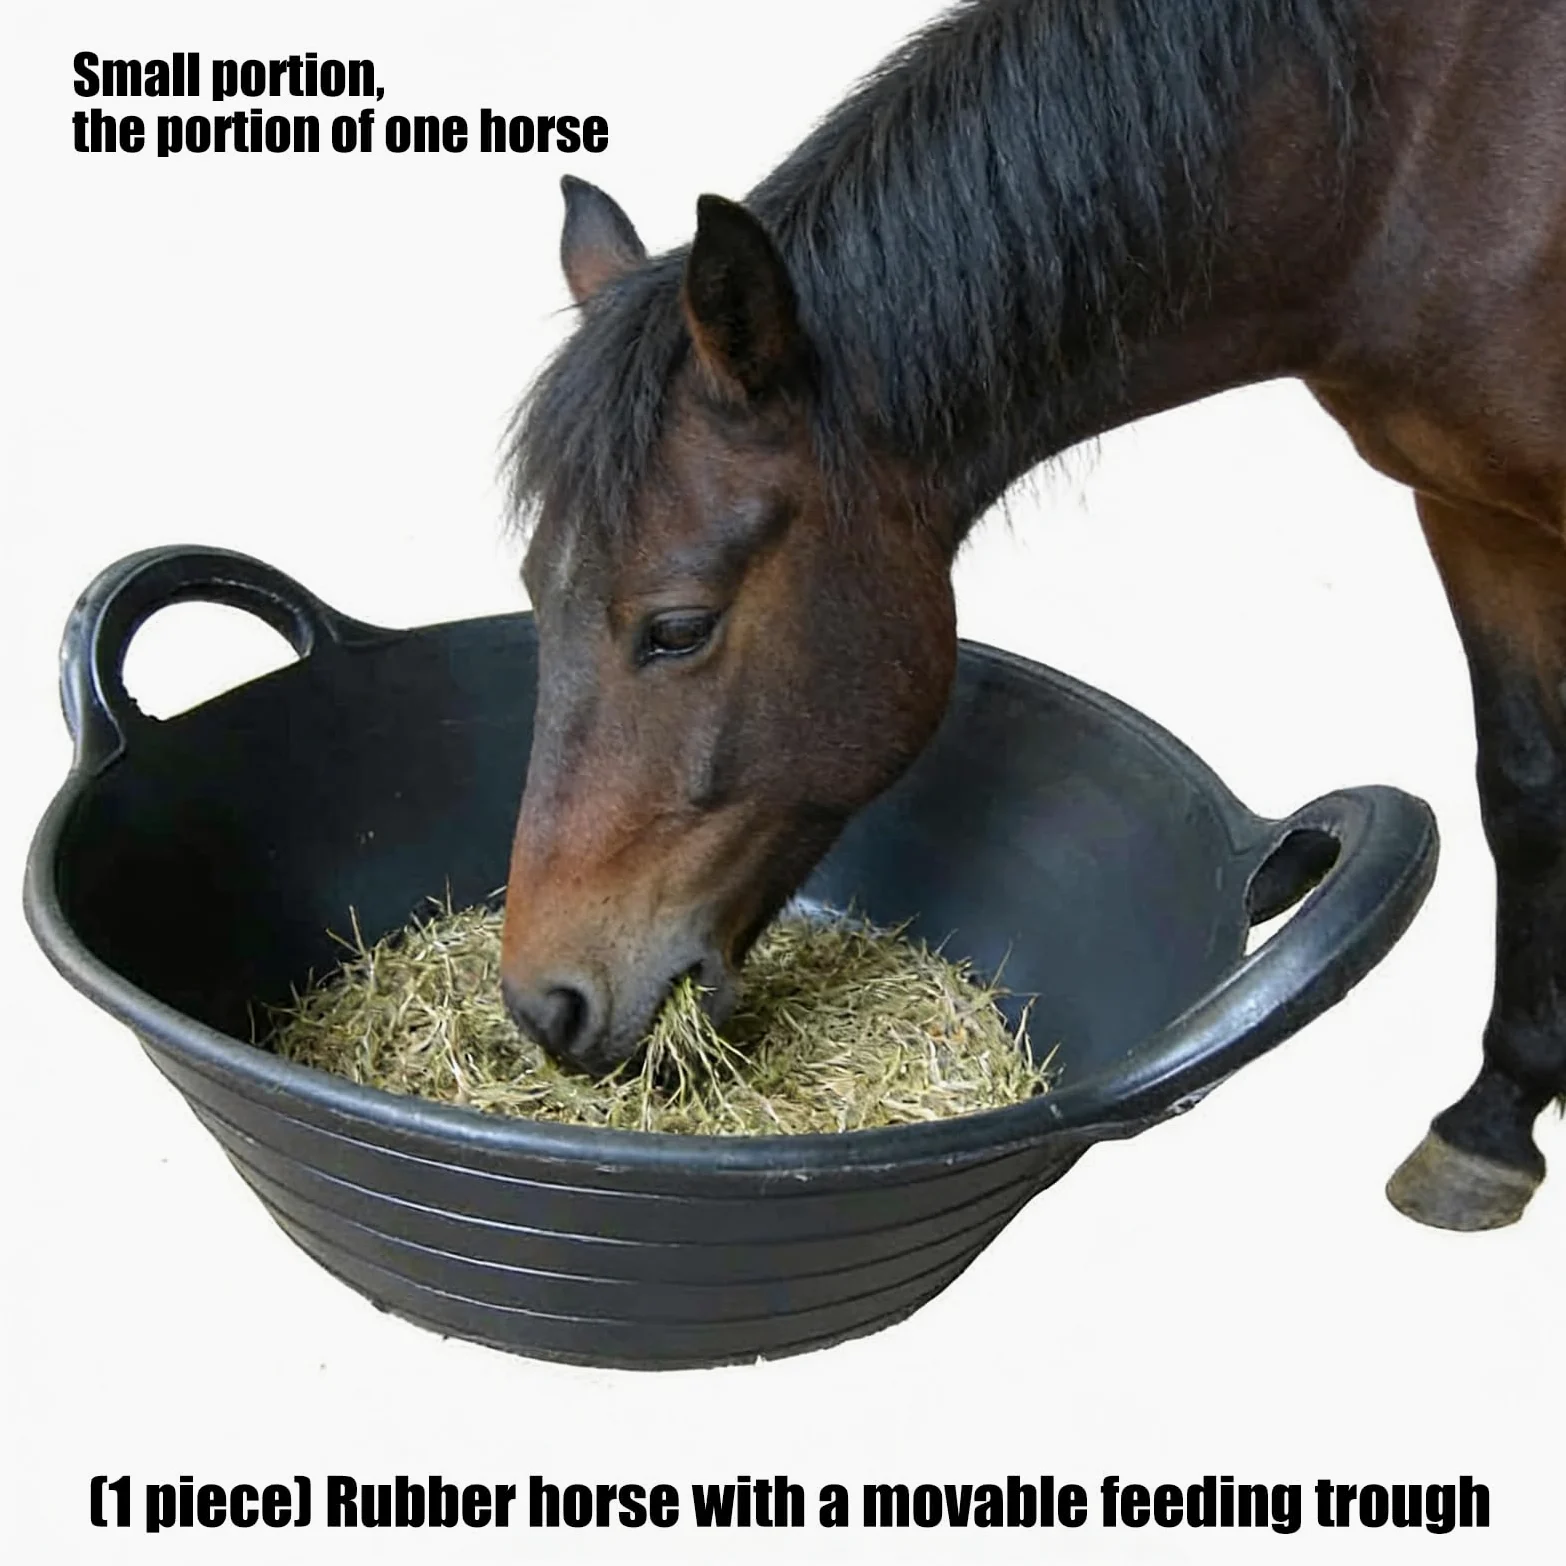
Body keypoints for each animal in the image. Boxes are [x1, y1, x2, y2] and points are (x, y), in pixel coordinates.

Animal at [498, 0, 1566, 1232]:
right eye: (535, 593)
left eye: (677, 627)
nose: (545, 1006)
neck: (1414, 157)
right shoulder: (1474, 511)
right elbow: (1527, 792)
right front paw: (1492, 1125)